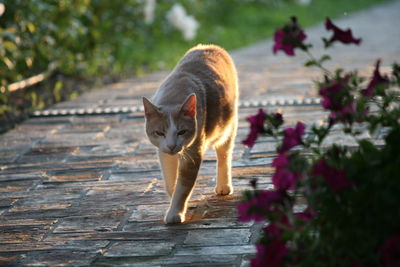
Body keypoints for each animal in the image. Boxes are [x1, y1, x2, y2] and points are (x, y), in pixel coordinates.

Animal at [143, 44, 238, 224]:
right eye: (159, 132)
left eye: (182, 132)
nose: (172, 145)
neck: (174, 96)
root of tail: (209, 46)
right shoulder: (163, 153)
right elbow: (170, 182)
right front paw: (174, 197)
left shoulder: (193, 150)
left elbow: (183, 185)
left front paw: (175, 212)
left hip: (228, 125)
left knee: (224, 154)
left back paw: (224, 185)